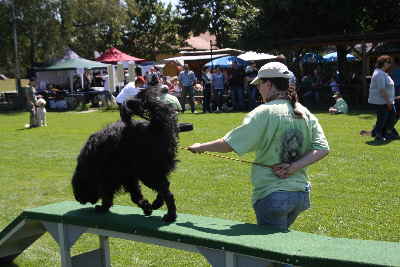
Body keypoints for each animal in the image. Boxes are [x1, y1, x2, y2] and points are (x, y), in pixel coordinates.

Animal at [71, 87, 179, 223]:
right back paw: (157, 203)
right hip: (153, 170)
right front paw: (146, 207)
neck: (89, 164)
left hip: (147, 171)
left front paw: (103, 207)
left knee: (166, 191)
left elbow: (108, 194)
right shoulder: (128, 177)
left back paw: (170, 215)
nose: (79, 200)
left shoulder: (109, 176)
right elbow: (135, 195)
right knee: (165, 186)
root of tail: (154, 127)